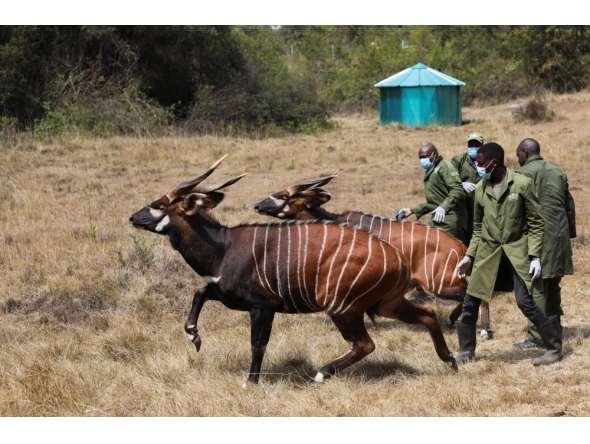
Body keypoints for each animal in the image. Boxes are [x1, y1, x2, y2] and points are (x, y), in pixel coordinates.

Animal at [130, 157, 460, 386]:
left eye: (158, 205)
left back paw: (321, 374)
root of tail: (398, 259)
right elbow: (199, 293)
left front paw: (251, 382)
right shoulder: (226, 294)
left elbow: (258, 344)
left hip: (343, 307)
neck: (223, 247)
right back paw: (450, 360)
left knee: (365, 343)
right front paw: (194, 338)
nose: (132, 217)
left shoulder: (261, 307)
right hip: (385, 304)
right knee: (428, 315)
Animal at [254, 173, 494, 340]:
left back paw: (482, 330)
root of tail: (462, 247)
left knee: (474, 295)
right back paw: (458, 322)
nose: (257, 205)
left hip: (440, 283)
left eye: (284, 196)